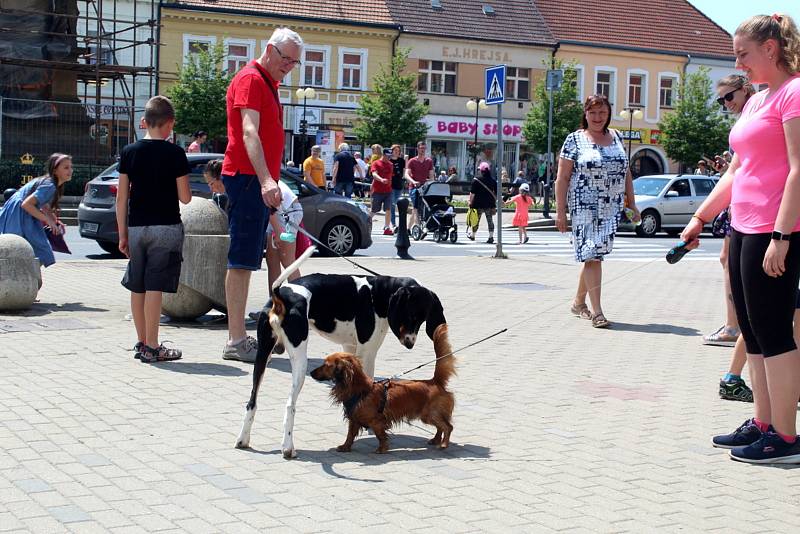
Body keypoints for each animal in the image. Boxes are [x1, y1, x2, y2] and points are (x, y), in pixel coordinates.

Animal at [234, 272, 446, 460]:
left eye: (422, 319)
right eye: (411, 315)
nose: (410, 344)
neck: (377, 294)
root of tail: (282, 295)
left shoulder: (349, 349)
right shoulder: (368, 353)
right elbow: (370, 387)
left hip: (262, 357)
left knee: (252, 402)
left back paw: (243, 440)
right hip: (299, 361)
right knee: (289, 405)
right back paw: (288, 448)